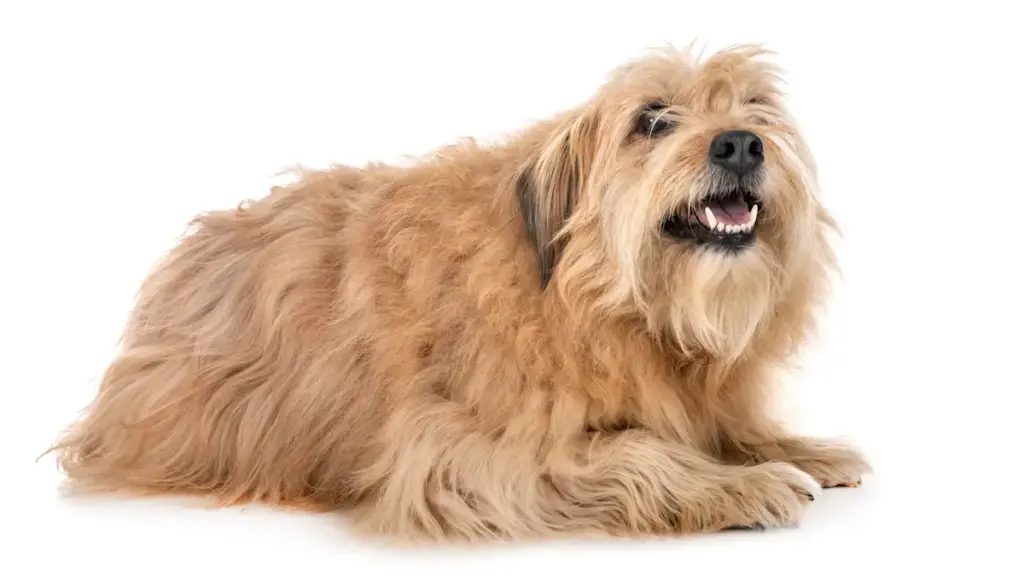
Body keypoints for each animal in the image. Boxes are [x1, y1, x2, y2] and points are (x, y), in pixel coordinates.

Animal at [46, 44, 864, 541]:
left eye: (756, 110)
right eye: (653, 120)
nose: (741, 144)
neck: (591, 299)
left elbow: (721, 426)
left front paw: (796, 448)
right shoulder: (461, 456)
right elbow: (638, 452)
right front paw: (742, 487)